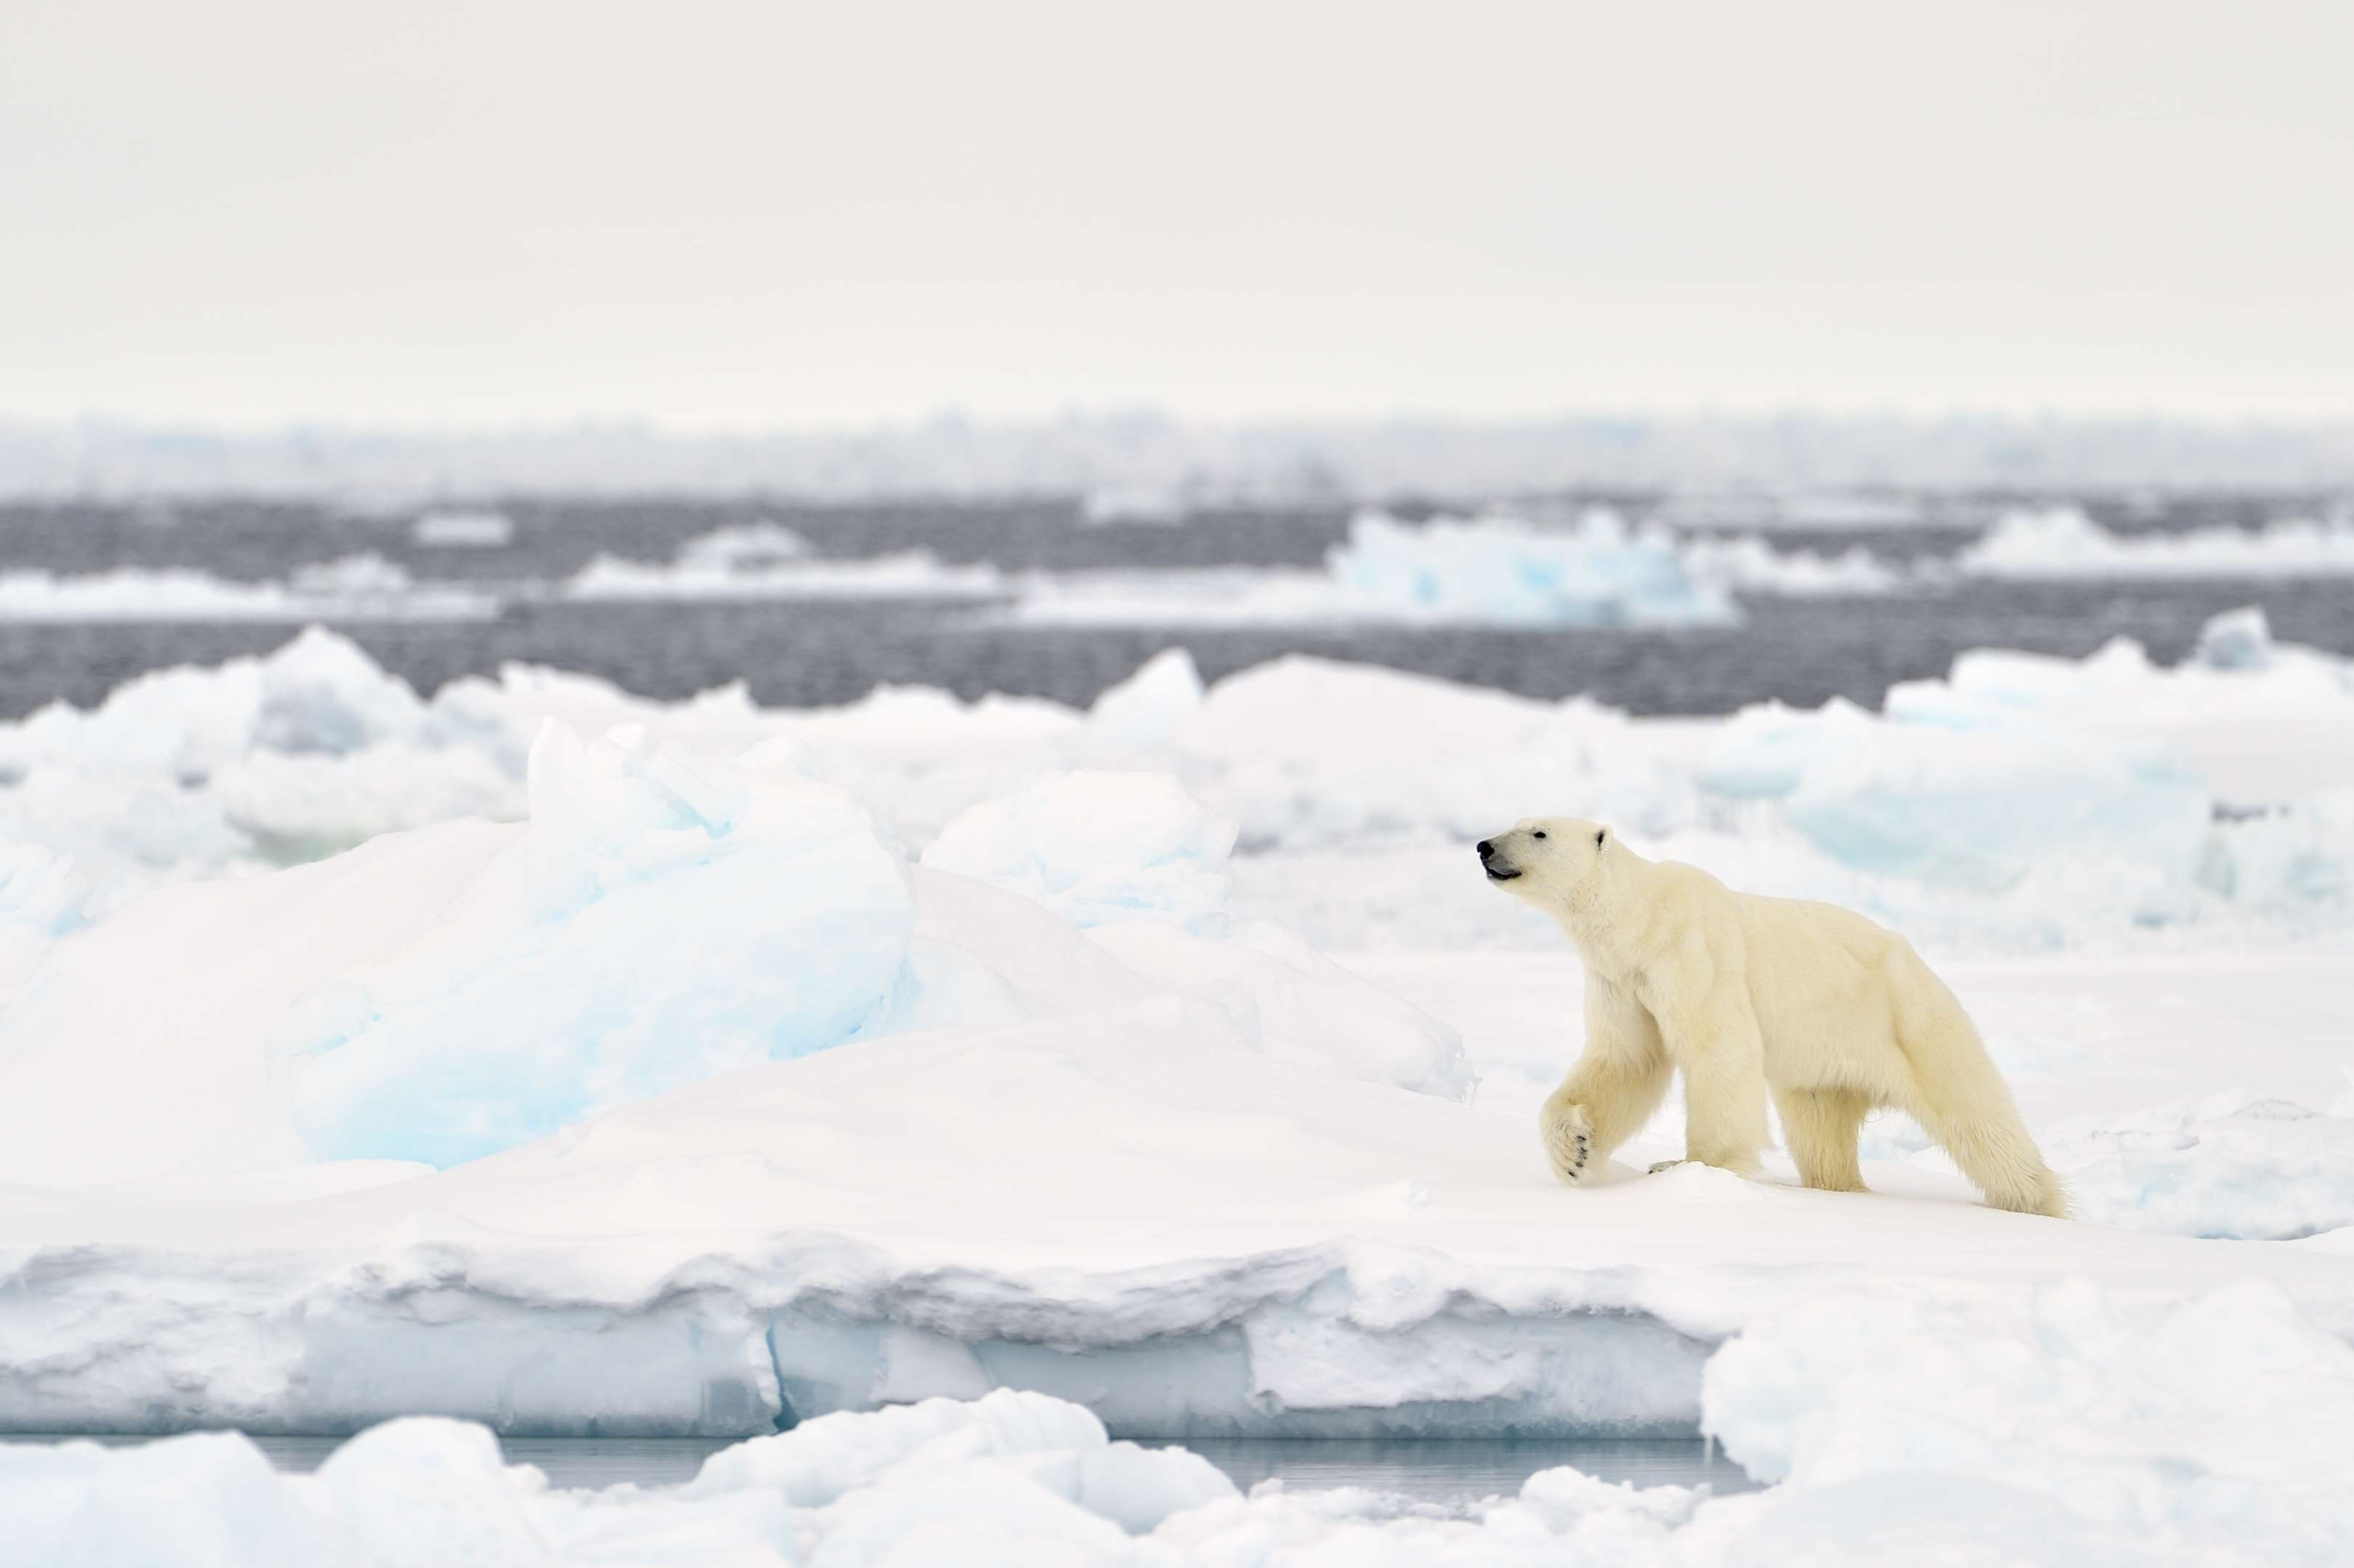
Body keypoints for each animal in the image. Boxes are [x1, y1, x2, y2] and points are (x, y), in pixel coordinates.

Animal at [1478, 810, 2071, 1215]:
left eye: (1538, 832)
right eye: (1518, 822)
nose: (1484, 846)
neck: (1642, 920)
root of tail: (1922, 967)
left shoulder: (1694, 951)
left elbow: (1718, 1048)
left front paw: (1693, 1166)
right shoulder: (1621, 978)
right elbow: (1625, 1059)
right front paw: (1574, 1152)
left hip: (1912, 1019)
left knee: (1976, 1115)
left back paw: (2038, 1201)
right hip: (1826, 1062)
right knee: (1821, 1132)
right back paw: (1840, 1187)